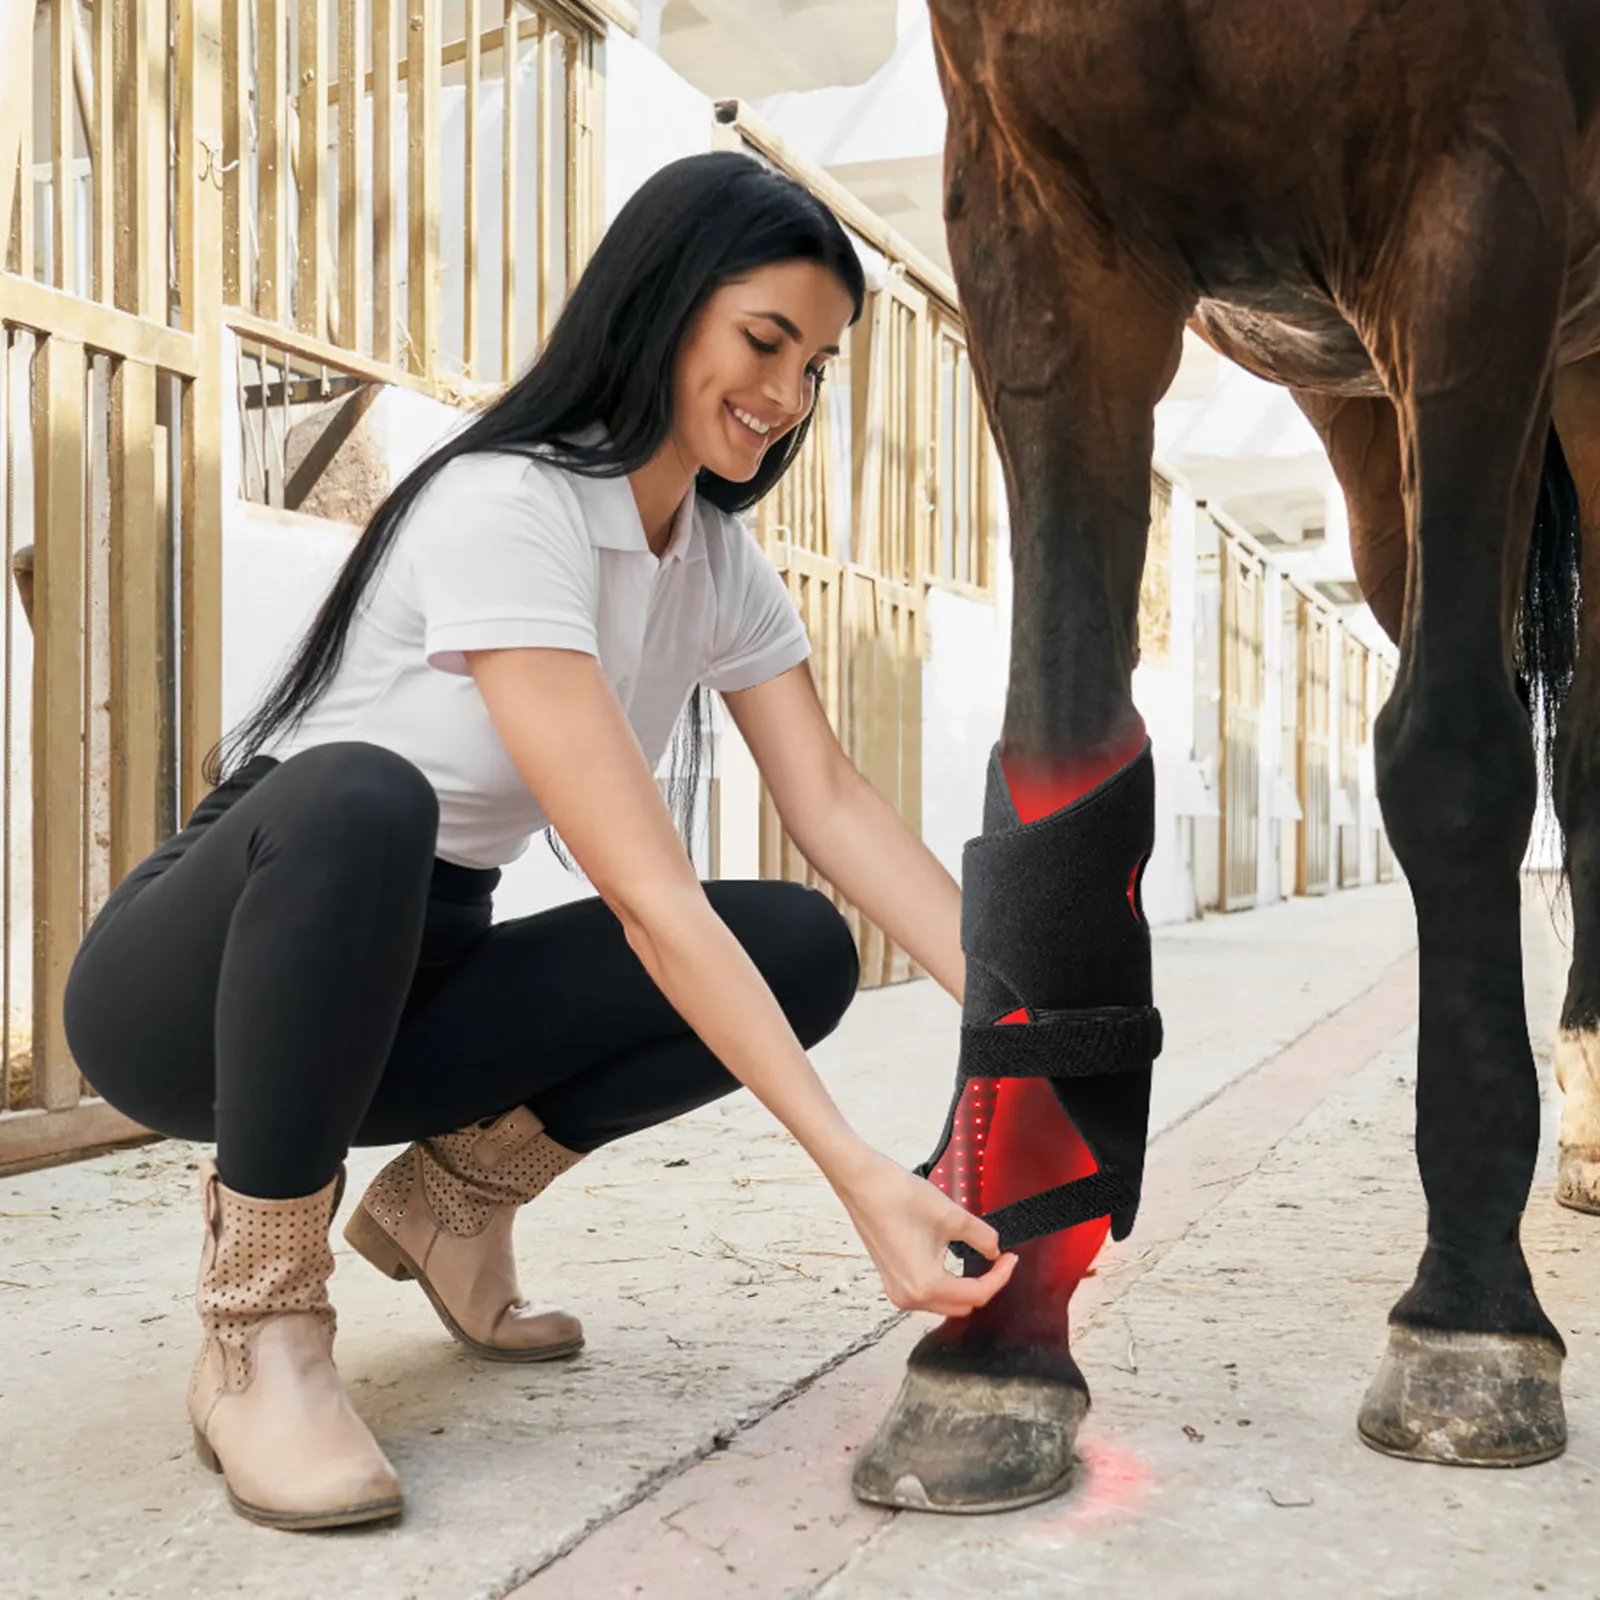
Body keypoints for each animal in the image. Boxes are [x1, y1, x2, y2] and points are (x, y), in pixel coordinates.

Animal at [851, 3, 1600, 1510]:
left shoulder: (1481, 190)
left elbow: (1453, 758)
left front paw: (1471, 1316)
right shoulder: (1040, 226)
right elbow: (1061, 739)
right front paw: (999, 1343)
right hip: (1387, 425)